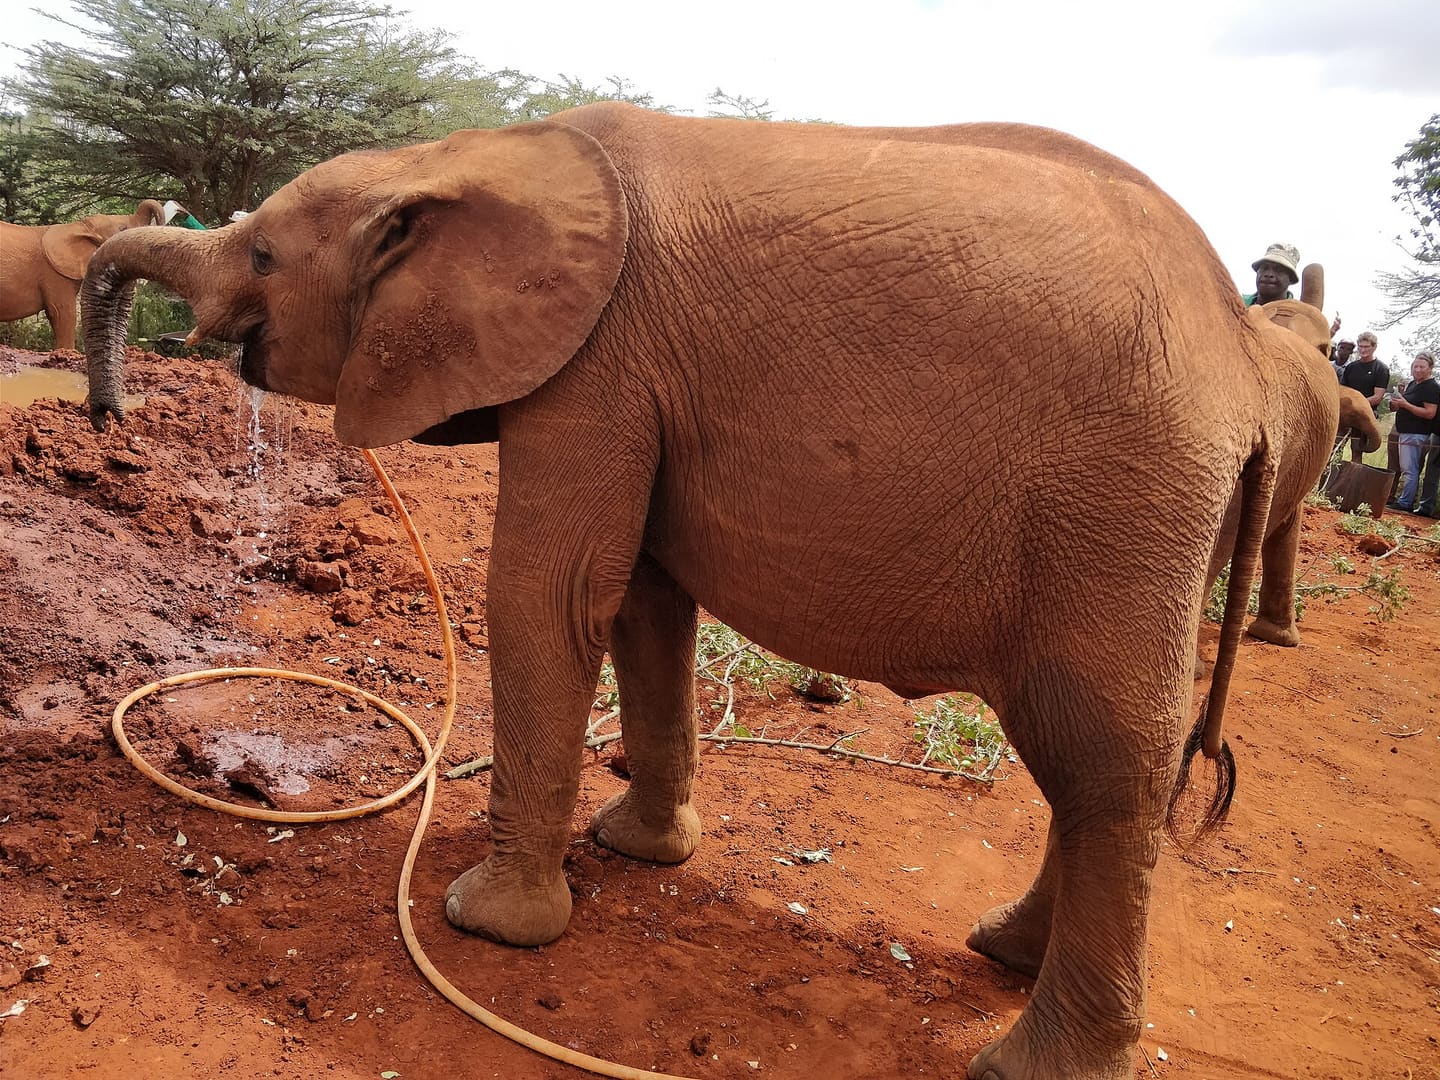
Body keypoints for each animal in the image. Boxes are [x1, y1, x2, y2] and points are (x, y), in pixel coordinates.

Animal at [79, 104, 1340, 1080]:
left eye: (261, 258)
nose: (107, 415)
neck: (473, 154)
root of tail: (1243, 357)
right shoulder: (638, 381)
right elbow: (643, 601)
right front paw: (640, 853)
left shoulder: (599, 363)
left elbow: (551, 593)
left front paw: (486, 927)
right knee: (1097, 762)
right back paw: (1003, 951)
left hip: (1122, 506)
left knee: (1104, 756)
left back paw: (1029, 1057)